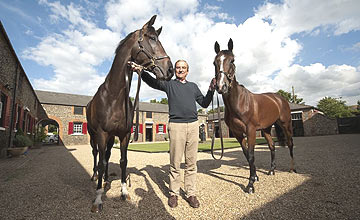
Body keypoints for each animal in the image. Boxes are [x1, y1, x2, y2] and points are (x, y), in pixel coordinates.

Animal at [86, 15, 173, 211]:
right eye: (152, 38)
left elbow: (123, 160)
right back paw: (95, 177)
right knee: (96, 155)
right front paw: (98, 198)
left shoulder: (124, 134)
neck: (114, 96)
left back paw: (106, 179)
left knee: (107, 155)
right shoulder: (102, 134)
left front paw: (124, 191)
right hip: (93, 135)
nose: (170, 69)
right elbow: (101, 162)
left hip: (111, 138)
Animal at [214, 38, 296, 193]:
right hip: (266, 130)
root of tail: (279, 98)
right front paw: (255, 176)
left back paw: (292, 169)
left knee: (290, 143)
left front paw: (251, 184)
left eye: (232, 60)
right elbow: (247, 155)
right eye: (214, 62)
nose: (221, 87)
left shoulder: (250, 130)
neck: (239, 102)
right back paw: (272, 170)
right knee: (272, 146)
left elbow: (251, 155)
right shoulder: (237, 133)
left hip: (286, 124)